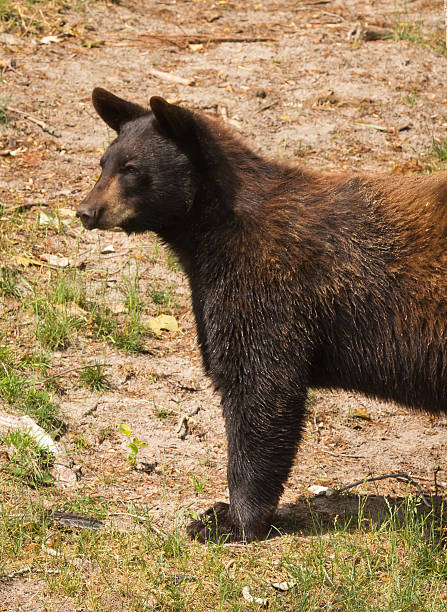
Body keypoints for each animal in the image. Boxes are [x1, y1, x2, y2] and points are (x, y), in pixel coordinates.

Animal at [77, 88, 447, 544]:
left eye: (132, 169)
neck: (213, 230)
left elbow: (262, 389)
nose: (86, 211)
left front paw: (229, 519)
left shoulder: (269, 289)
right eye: (104, 162)